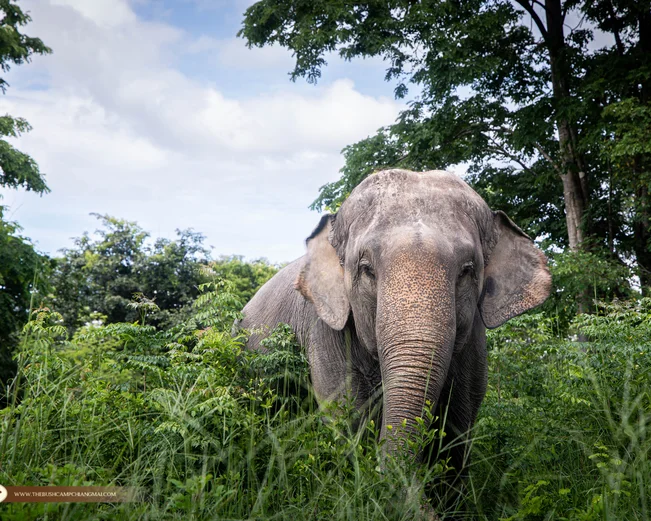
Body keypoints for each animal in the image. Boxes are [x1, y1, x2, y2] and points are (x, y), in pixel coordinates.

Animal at [240, 169, 551, 497]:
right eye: (366, 269)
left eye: (467, 271)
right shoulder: (323, 327)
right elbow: (348, 413)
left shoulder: (474, 340)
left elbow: (459, 421)